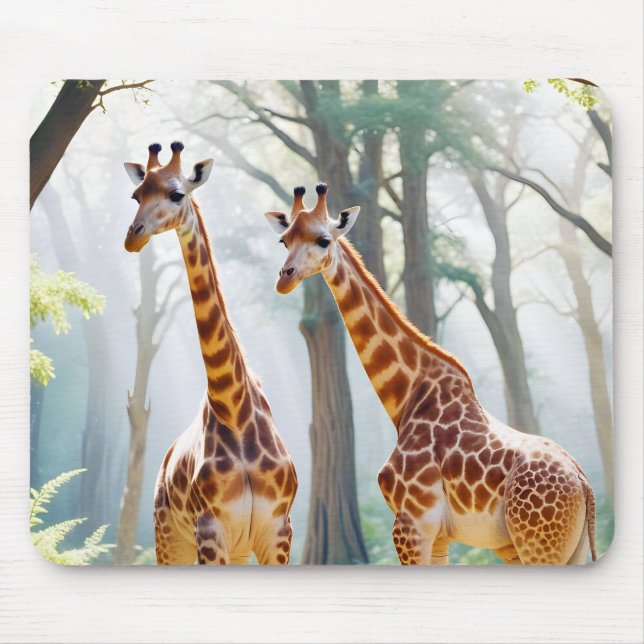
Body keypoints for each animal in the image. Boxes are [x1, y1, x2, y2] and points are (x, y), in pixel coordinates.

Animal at [123, 142, 297, 565]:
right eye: (136, 195)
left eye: (176, 194)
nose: (133, 238)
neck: (233, 408)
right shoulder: (210, 529)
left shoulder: (278, 531)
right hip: (169, 538)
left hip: (237, 550)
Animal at [264, 182, 597, 565]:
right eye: (284, 240)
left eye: (323, 240)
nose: (284, 279)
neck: (409, 395)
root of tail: (584, 486)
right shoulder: (437, 536)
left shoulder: (412, 524)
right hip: (567, 551)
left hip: (537, 546)